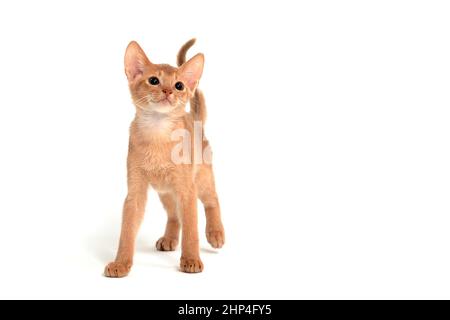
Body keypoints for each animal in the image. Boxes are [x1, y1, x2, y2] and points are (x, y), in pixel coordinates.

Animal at [105, 38, 225, 276]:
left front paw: (191, 260)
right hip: (165, 192)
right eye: (153, 80)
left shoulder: (187, 191)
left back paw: (215, 233)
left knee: (212, 200)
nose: (168, 91)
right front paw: (121, 263)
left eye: (179, 85)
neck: (157, 133)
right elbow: (127, 231)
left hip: (201, 179)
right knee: (174, 215)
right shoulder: (135, 192)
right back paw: (169, 239)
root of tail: (195, 119)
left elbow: (191, 232)